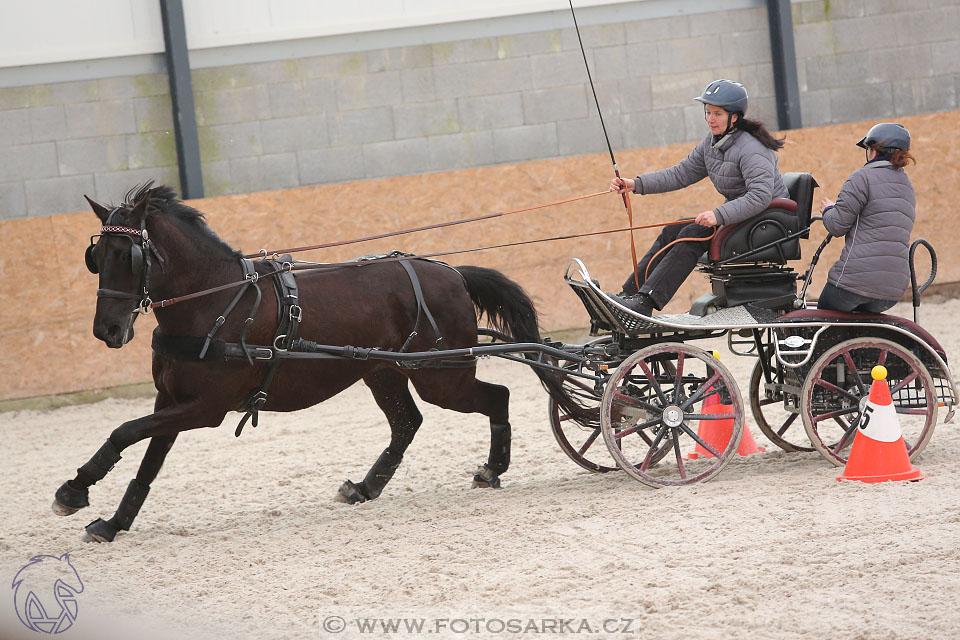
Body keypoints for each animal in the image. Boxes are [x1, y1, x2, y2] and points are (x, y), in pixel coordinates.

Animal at [58, 184, 592, 540]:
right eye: (96, 256)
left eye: (127, 255)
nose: (107, 331)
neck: (218, 300)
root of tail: (454, 274)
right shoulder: (171, 400)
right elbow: (148, 458)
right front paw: (112, 520)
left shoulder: (204, 409)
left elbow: (124, 432)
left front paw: (75, 490)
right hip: (384, 372)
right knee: (408, 423)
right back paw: (365, 487)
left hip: (443, 375)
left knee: (496, 397)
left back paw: (492, 468)